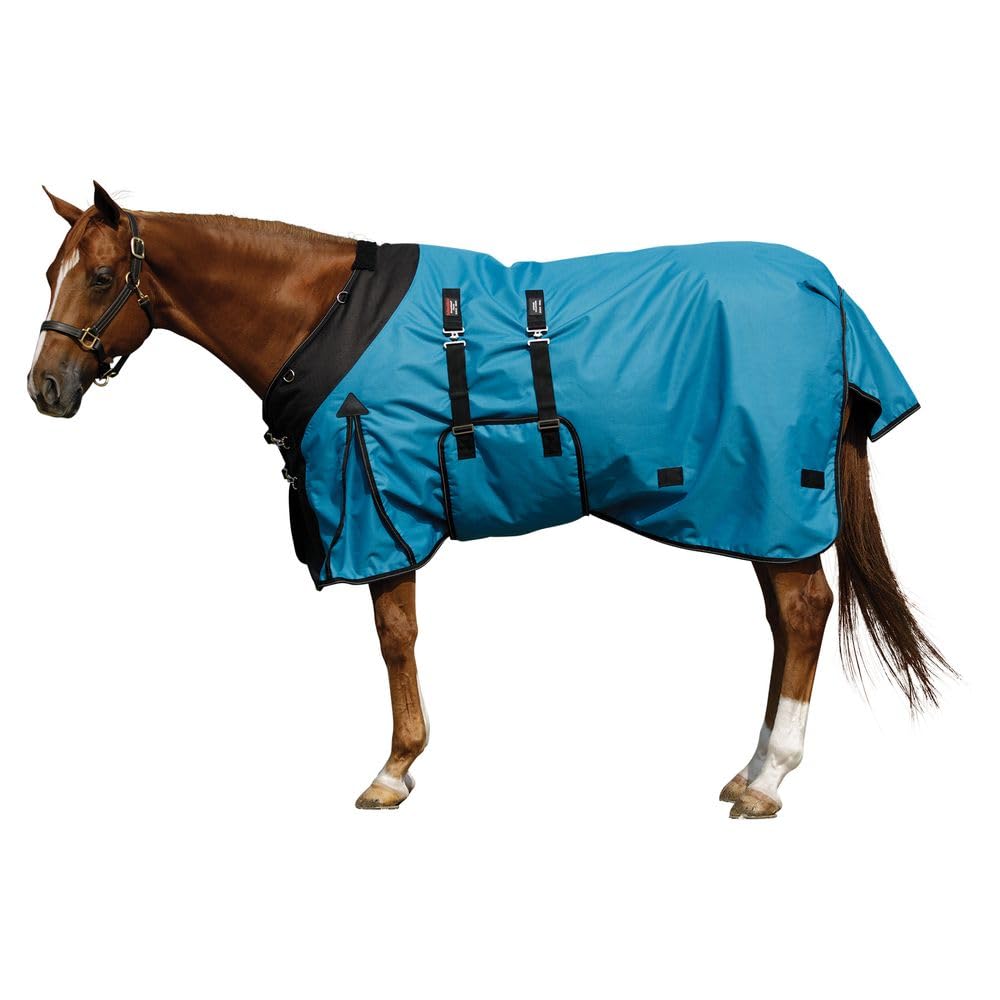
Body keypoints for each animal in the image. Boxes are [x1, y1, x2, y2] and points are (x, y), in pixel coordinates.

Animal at [27, 182, 953, 818]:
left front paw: (395, 769)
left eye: (102, 276)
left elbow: (395, 639)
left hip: (765, 498)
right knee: (787, 619)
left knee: (802, 613)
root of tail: (827, 289)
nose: (44, 387)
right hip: (752, 511)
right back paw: (752, 768)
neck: (324, 313)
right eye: (48, 273)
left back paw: (770, 780)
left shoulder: (383, 502)